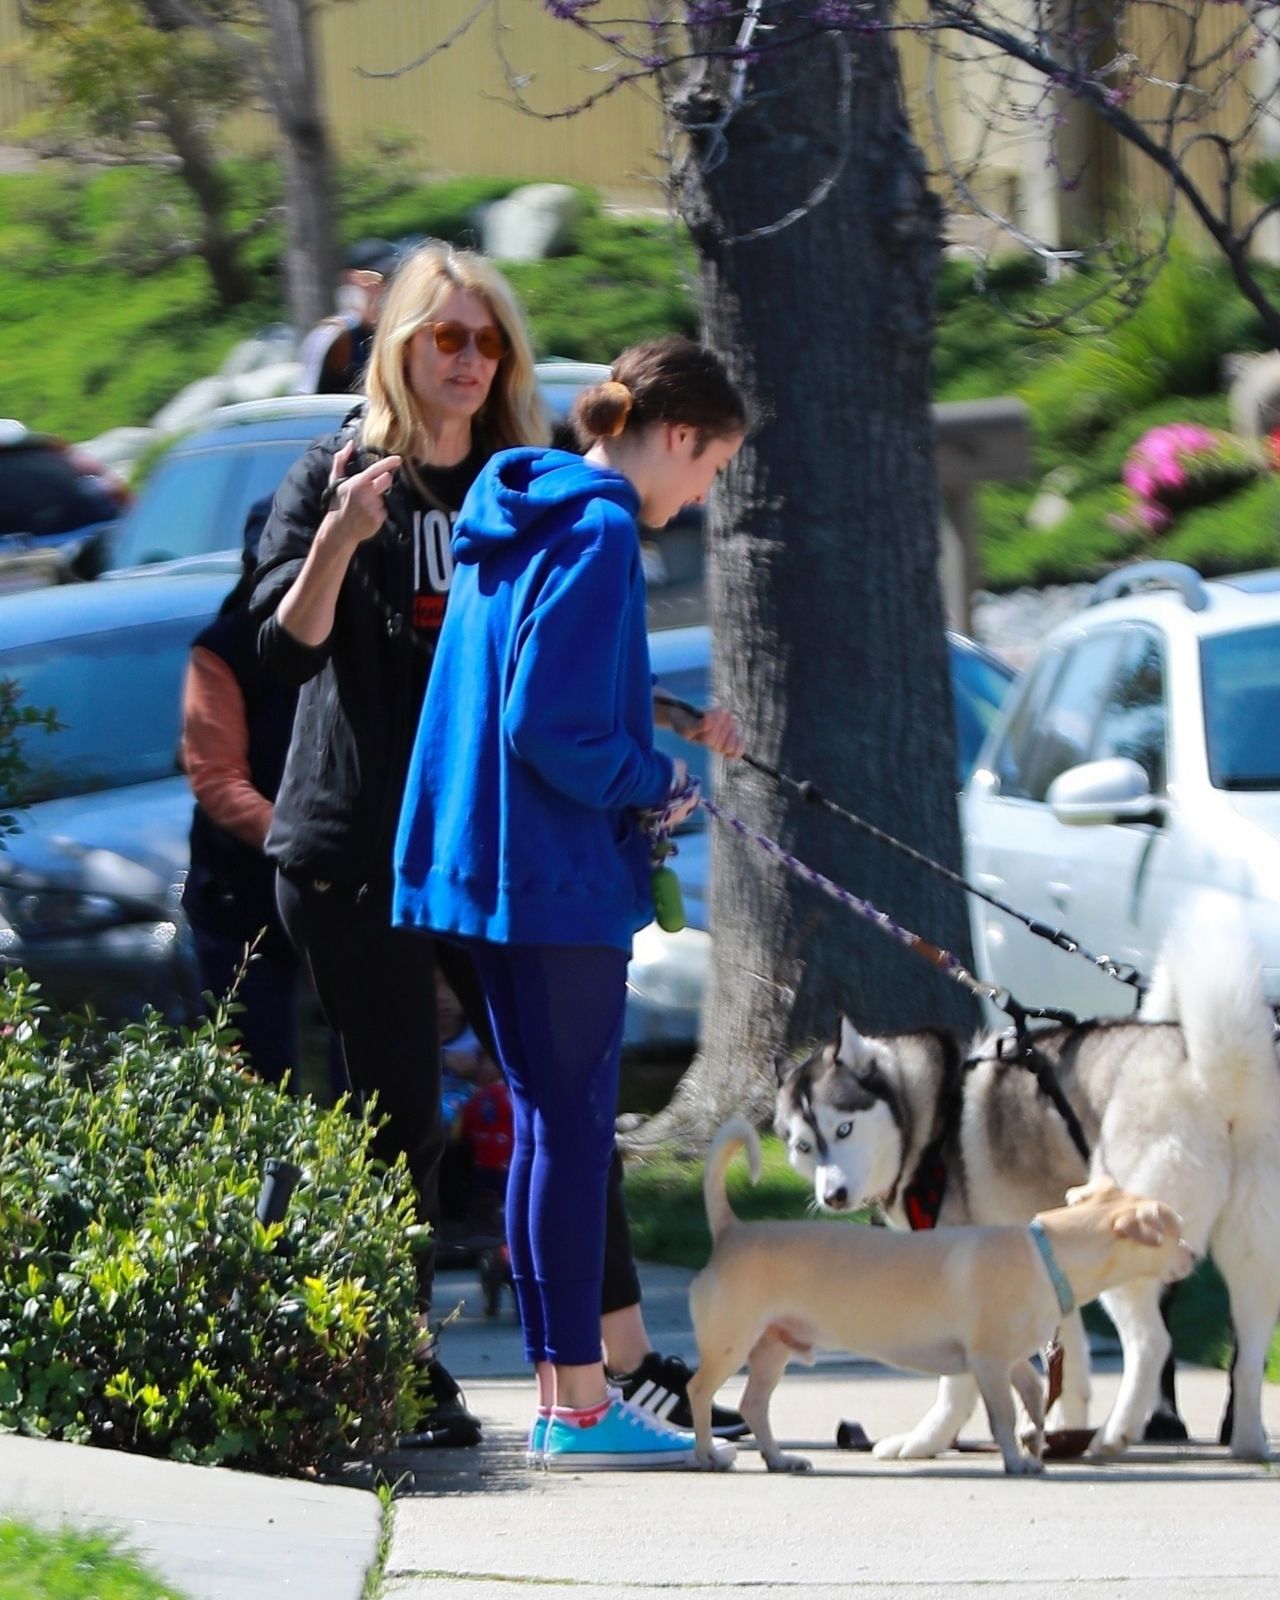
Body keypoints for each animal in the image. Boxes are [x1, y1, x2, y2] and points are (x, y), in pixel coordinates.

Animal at [684, 1113, 1196, 1472]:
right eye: (1175, 1231)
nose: (1193, 1255)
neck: (1046, 1252)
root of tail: (731, 1232)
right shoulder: (989, 1363)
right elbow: (1002, 1416)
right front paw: (1015, 1460)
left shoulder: (1010, 1360)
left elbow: (1033, 1396)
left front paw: (1035, 1443)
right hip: (732, 1342)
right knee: (700, 1390)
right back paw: (709, 1455)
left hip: (773, 1346)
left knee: (753, 1404)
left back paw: (778, 1458)